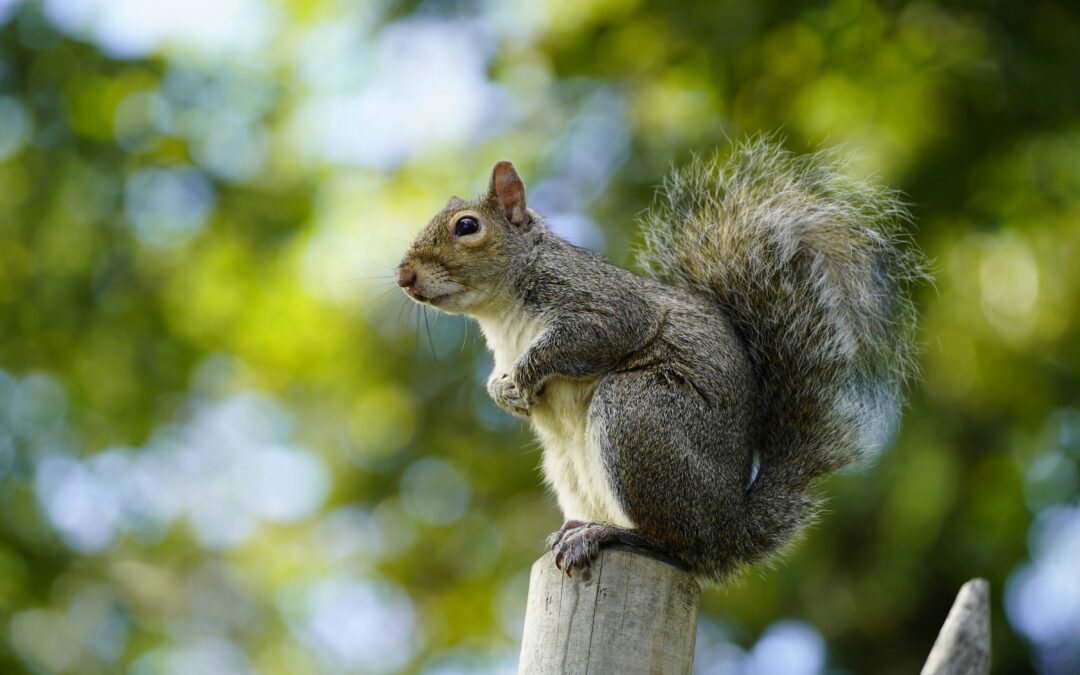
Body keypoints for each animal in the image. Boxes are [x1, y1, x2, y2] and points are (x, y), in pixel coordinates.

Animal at [395, 137, 925, 581]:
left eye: (467, 226)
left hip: (639, 413)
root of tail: (729, 530)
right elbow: (498, 377)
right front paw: (503, 391)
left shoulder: (605, 305)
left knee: (673, 542)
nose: (404, 277)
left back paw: (608, 533)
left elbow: (592, 337)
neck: (498, 312)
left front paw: (525, 376)